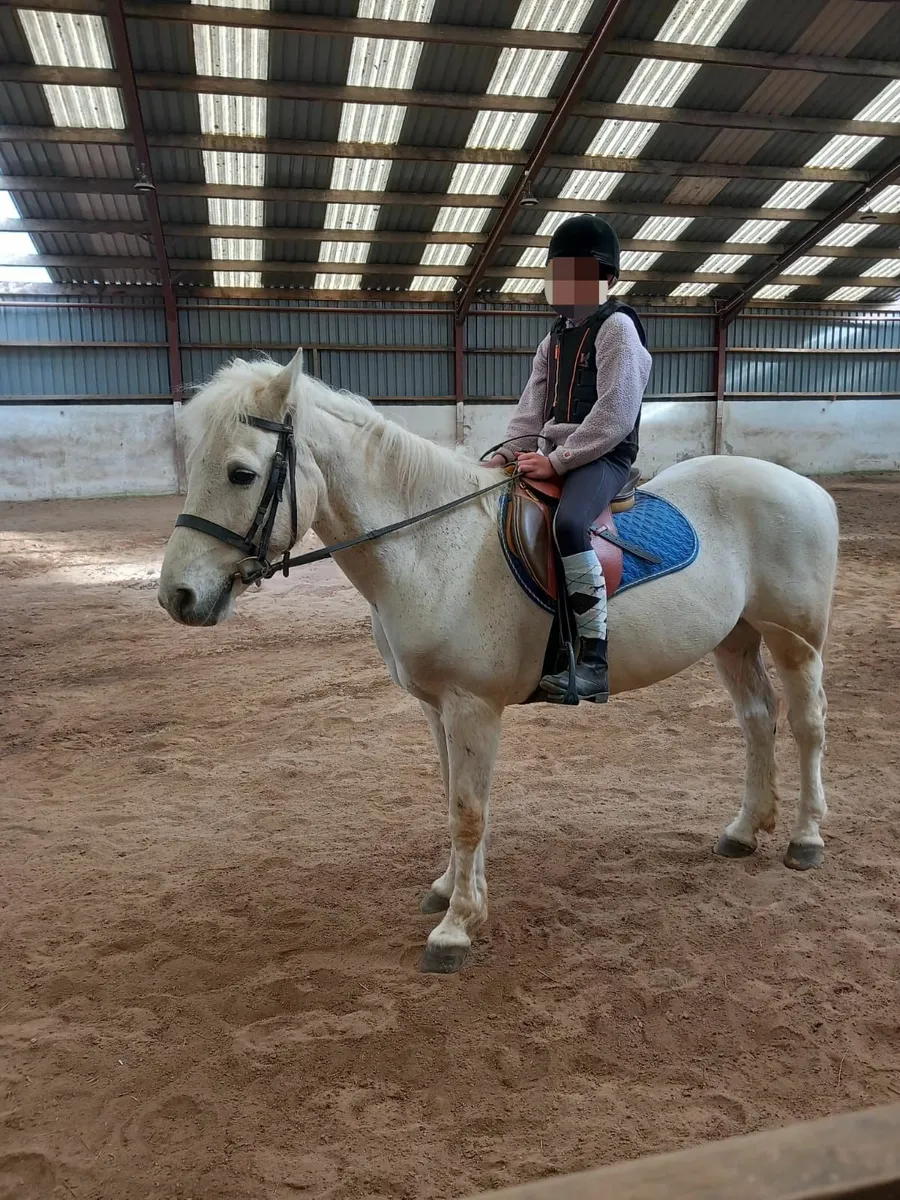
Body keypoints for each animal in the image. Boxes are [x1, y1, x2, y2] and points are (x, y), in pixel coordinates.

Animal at [158, 351, 840, 974]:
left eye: (241, 473)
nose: (177, 597)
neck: (435, 548)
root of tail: (806, 487)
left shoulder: (472, 707)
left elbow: (468, 813)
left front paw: (457, 928)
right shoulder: (438, 709)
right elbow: (454, 797)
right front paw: (451, 892)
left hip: (795, 641)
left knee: (806, 726)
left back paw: (805, 839)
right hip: (735, 640)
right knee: (757, 721)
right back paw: (744, 830)